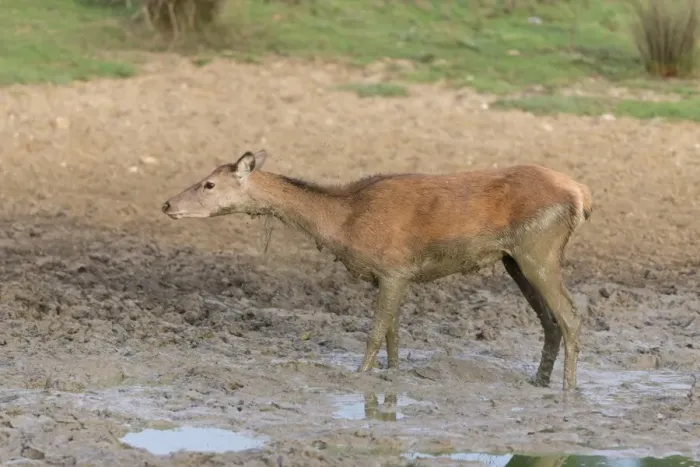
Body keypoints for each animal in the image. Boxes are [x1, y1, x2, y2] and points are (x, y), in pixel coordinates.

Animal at [161, 150, 593, 391]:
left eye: (209, 184)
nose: (166, 204)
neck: (344, 222)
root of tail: (581, 195)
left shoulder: (393, 267)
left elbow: (374, 333)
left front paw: (359, 375)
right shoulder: (394, 275)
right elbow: (393, 336)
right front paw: (392, 377)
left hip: (539, 249)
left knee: (571, 315)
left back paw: (569, 390)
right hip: (514, 259)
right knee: (551, 321)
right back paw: (538, 381)